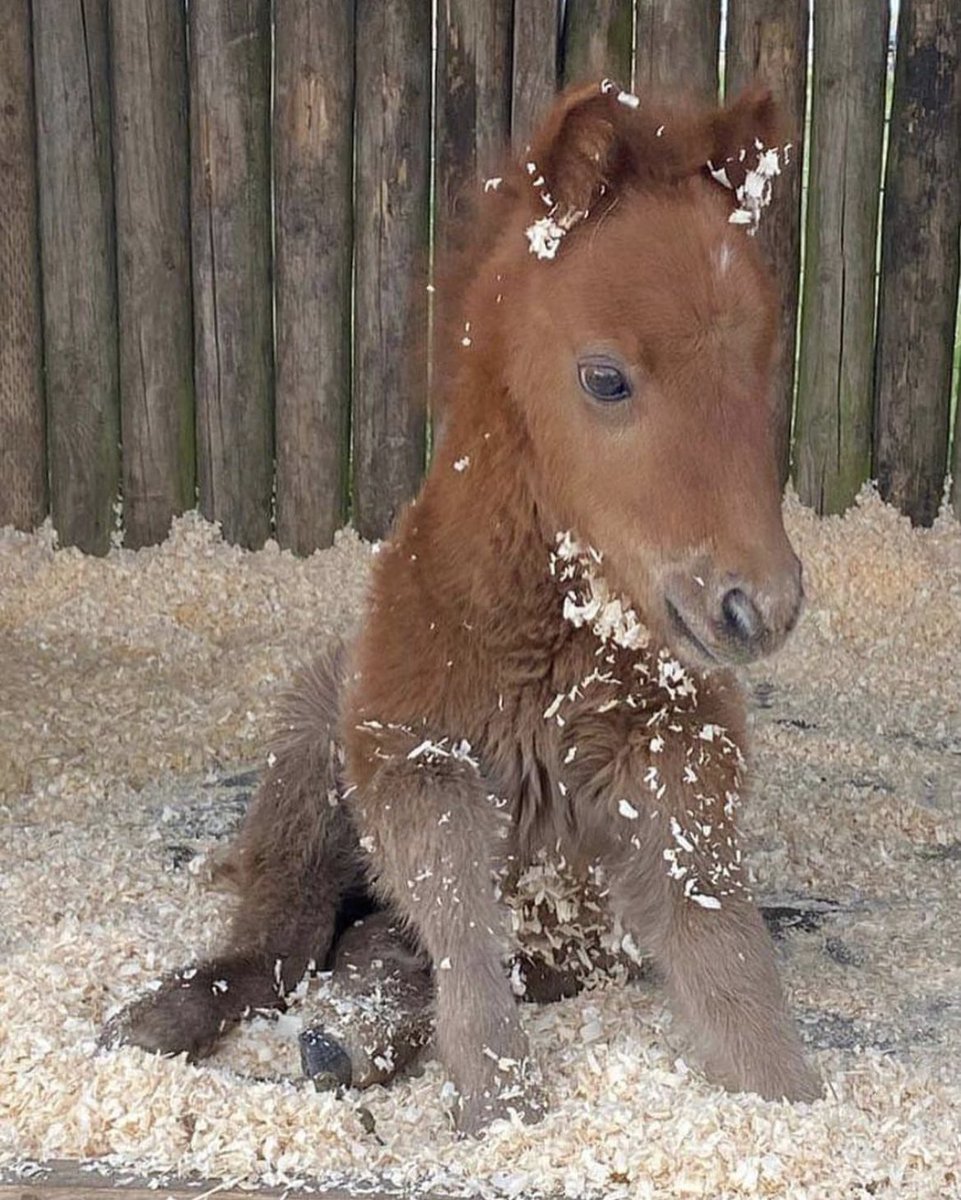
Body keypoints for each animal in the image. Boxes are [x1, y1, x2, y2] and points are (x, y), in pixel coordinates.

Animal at [104, 81, 820, 1133]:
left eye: (765, 369)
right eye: (605, 377)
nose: (756, 606)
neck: (551, 650)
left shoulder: (676, 769)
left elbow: (724, 952)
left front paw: (788, 1099)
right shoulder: (411, 754)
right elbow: (458, 917)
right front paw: (500, 1102)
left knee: (368, 945)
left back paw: (343, 1041)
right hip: (308, 770)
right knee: (281, 944)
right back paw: (154, 1023)